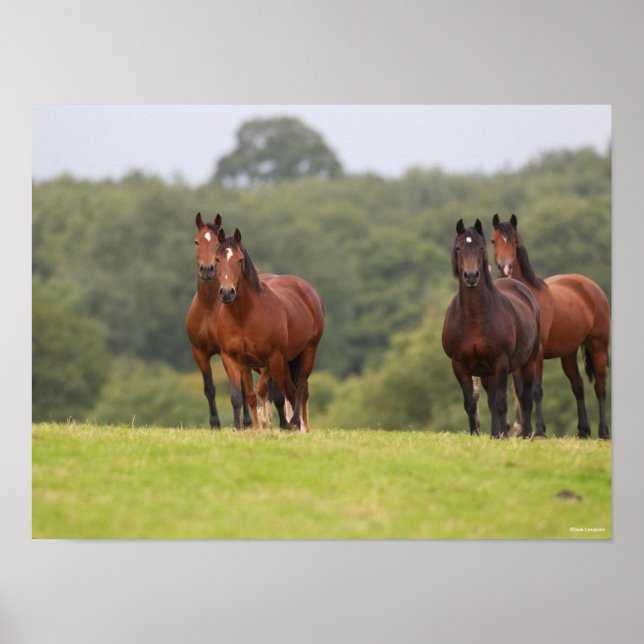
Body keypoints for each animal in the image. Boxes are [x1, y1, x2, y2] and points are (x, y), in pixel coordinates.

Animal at [213, 227, 325, 431]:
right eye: (217, 259)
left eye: (240, 260)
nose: (226, 292)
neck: (243, 316)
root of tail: (308, 290)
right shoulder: (234, 360)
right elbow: (242, 396)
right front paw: (242, 427)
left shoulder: (274, 358)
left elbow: (278, 396)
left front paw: (283, 425)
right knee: (292, 389)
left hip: (308, 351)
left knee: (300, 387)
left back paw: (296, 423)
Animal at [442, 219, 542, 439]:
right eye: (459, 248)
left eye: (481, 247)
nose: (471, 276)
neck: (474, 319)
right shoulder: (459, 366)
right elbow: (472, 404)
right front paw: (477, 435)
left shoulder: (501, 364)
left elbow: (501, 403)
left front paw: (500, 436)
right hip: (487, 373)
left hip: (528, 362)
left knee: (525, 398)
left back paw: (526, 434)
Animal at [490, 213, 610, 439]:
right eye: (493, 241)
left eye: (514, 241)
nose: (505, 268)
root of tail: (591, 287)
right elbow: (521, 391)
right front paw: (524, 432)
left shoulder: (537, 355)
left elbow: (536, 390)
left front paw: (539, 431)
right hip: (568, 353)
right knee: (578, 386)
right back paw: (583, 431)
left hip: (598, 346)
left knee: (600, 387)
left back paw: (603, 432)